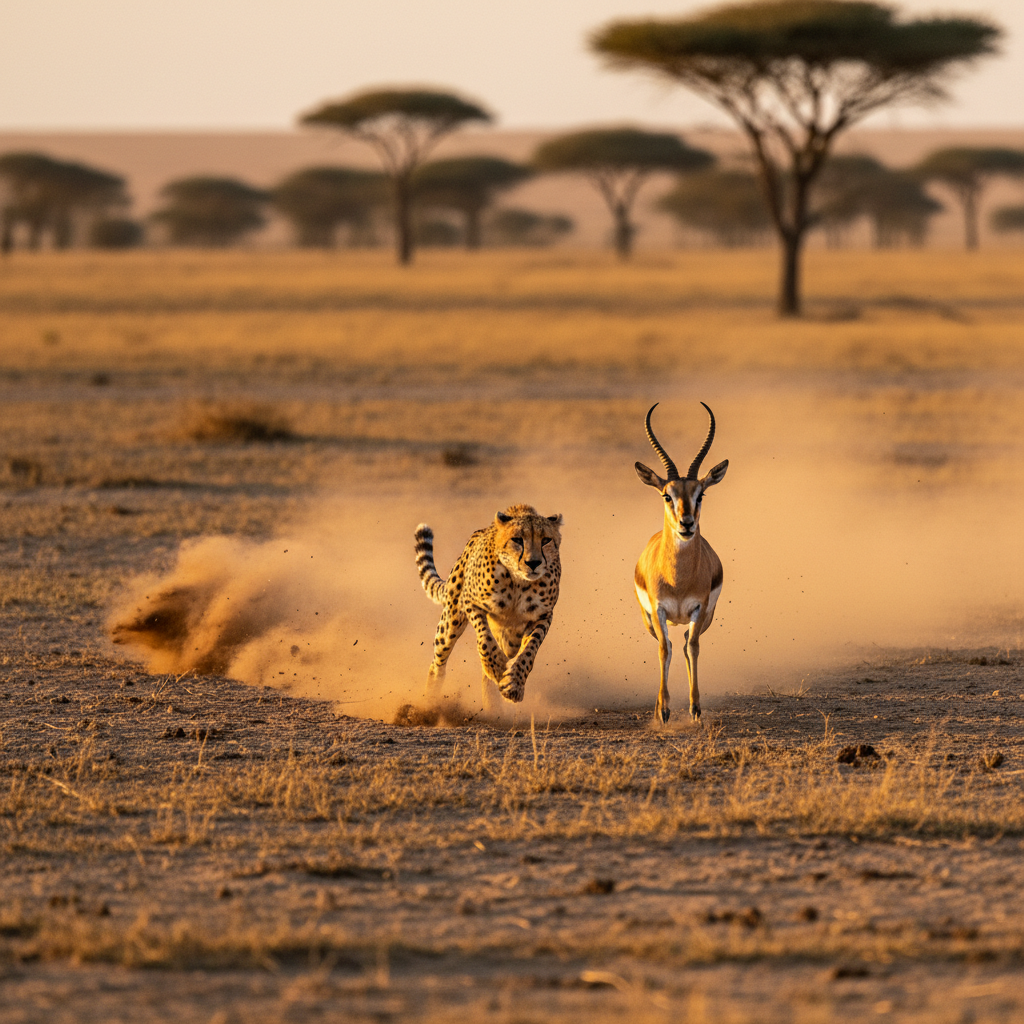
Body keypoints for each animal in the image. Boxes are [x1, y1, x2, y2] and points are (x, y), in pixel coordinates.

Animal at [414, 504, 562, 707]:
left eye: (546, 540)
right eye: (517, 539)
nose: (533, 563)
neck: (518, 581)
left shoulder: (542, 616)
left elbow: (529, 651)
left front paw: (514, 684)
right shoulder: (470, 601)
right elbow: (484, 639)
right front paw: (496, 666)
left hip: (510, 639)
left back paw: (493, 706)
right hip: (451, 621)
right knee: (438, 662)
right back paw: (430, 700)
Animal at [634, 402, 728, 724]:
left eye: (701, 494)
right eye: (667, 495)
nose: (686, 524)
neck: (677, 579)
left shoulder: (700, 609)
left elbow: (694, 648)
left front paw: (695, 708)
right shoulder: (658, 610)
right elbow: (664, 650)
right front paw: (663, 711)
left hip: (704, 618)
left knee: (686, 643)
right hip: (648, 620)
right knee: (669, 645)